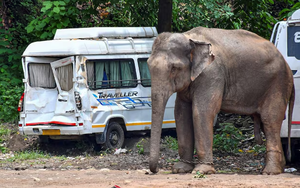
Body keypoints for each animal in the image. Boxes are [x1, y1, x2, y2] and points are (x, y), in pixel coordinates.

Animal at [149, 26, 294, 175]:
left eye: (174, 68)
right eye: (148, 65)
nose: (155, 170)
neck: (189, 38)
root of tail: (287, 66)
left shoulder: (212, 74)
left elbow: (201, 112)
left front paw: (202, 171)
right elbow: (181, 114)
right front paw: (180, 169)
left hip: (278, 84)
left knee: (270, 120)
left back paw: (270, 172)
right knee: (267, 124)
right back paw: (278, 168)